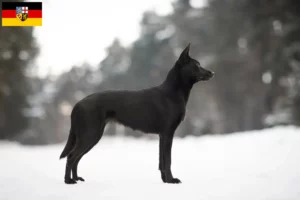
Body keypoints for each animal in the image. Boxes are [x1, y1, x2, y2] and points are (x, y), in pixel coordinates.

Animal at [59, 43, 213, 184]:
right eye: (197, 65)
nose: (212, 73)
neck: (172, 93)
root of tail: (77, 104)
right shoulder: (168, 133)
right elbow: (167, 160)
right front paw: (171, 180)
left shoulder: (162, 136)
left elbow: (161, 161)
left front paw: (164, 180)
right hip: (90, 135)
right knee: (71, 157)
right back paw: (68, 181)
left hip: (91, 136)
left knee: (76, 158)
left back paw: (76, 178)